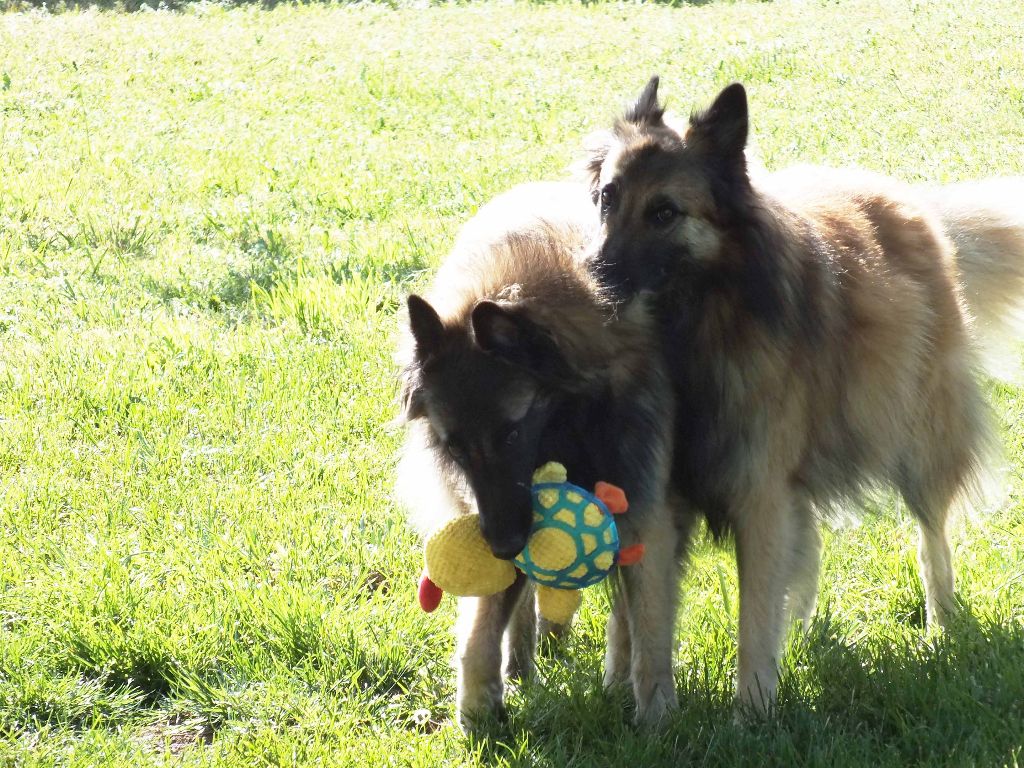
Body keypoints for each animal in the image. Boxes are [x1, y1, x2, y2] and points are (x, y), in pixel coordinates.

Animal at [395, 182, 692, 733]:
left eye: (512, 431)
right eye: (455, 446)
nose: (504, 545)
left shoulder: (644, 511)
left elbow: (648, 623)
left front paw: (656, 718)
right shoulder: (497, 511)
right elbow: (486, 614)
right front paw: (478, 709)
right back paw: (524, 659)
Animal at [581, 76, 1024, 716]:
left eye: (664, 211)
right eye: (606, 199)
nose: (590, 277)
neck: (697, 331)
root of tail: (912, 204)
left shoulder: (760, 494)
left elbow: (753, 613)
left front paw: (752, 711)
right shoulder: (654, 496)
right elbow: (648, 621)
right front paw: (652, 712)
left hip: (918, 443)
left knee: (931, 537)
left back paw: (941, 625)